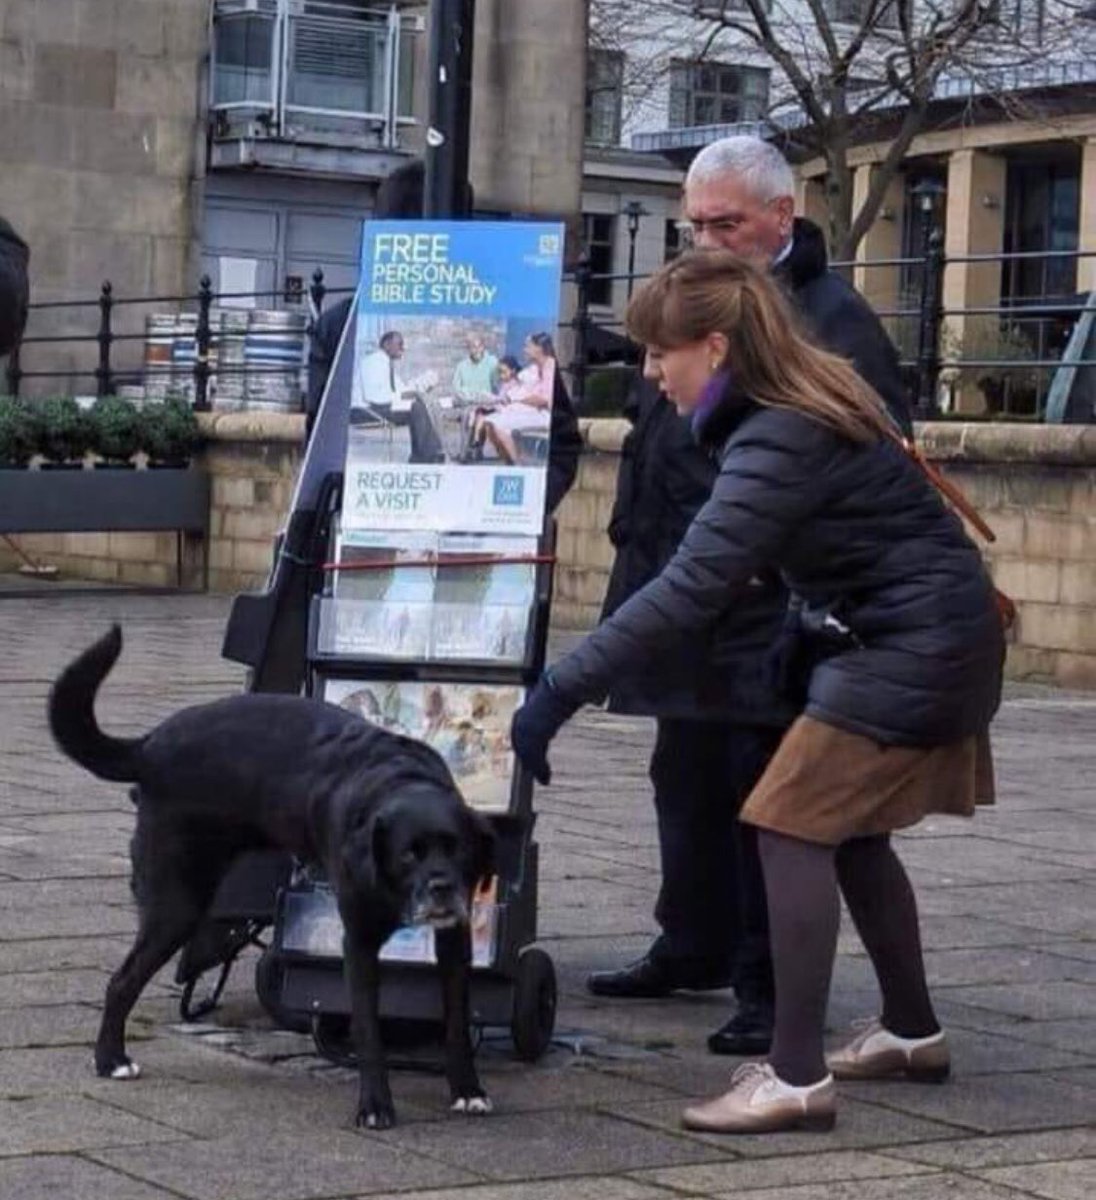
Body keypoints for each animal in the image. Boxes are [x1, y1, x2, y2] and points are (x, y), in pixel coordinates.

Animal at [49, 624, 494, 1128]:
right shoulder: (358, 942)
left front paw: (468, 1090)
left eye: (458, 851)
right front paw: (376, 1106)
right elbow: (368, 1031)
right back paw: (111, 1060)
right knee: (121, 980)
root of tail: (150, 746)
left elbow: (457, 1021)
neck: (400, 781)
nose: (441, 888)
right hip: (176, 903)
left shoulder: (456, 939)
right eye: (407, 856)